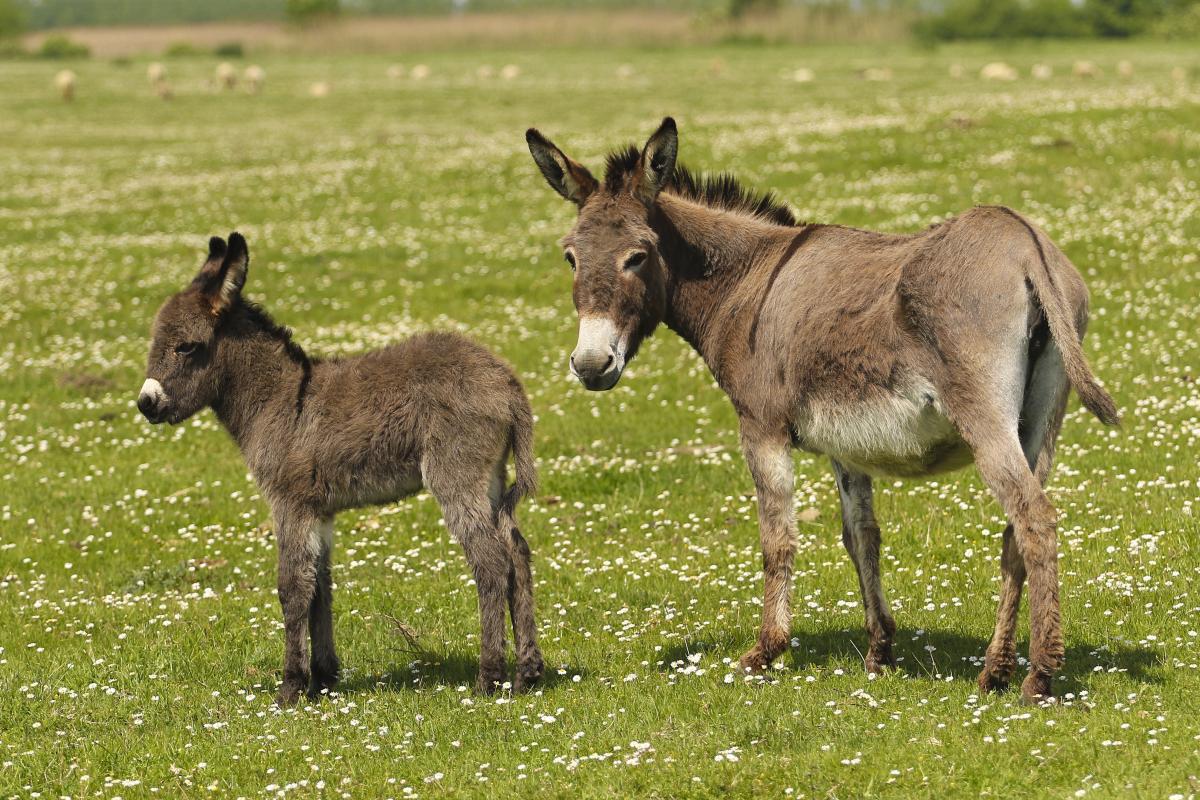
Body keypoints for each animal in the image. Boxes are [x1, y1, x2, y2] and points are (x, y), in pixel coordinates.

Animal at [139, 235, 544, 705]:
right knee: (517, 553)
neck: (282, 399)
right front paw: (323, 679)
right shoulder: (319, 511)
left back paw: (489, 677)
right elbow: (320, 587)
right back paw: (528, 672)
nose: (145, 403)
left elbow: (292, 588)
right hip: (491, 479)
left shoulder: (289, 503)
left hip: (456, 476)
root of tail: (507, 383)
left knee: (491, 562)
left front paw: (291, 687)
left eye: (186, 346)